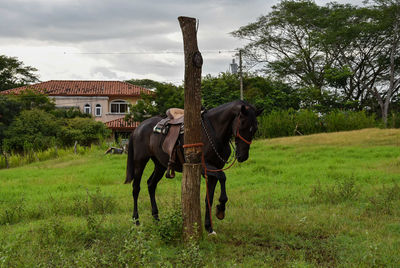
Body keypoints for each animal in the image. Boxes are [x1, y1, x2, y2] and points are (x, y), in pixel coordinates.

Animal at [125, 99, 262, 233]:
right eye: (242, 124)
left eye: (255, 128)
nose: (243, 156)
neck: (213, 131)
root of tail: (138, 128)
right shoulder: (202, 166)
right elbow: (222, 177)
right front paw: (221, 209)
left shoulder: (214, 169)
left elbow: (209, 198)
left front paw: (209, 227)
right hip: (140, 162)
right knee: (136, 188)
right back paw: (136, 221)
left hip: (160, 165)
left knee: (151, 184)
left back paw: (156, 219)